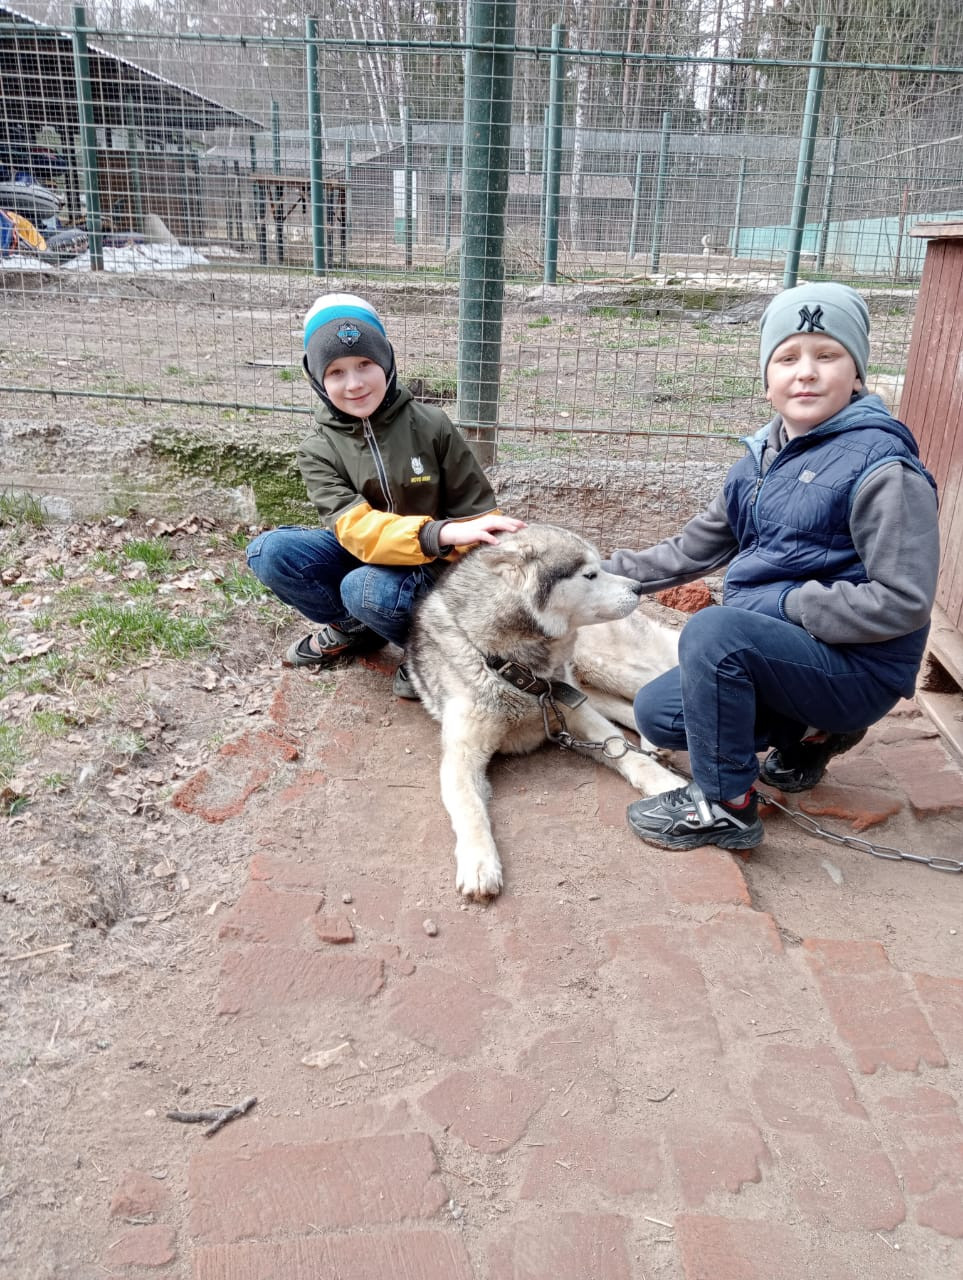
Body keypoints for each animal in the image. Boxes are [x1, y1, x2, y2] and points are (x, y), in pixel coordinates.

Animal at [405, 523, 685, 899]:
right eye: (590, 574)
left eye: (601, 566)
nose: (639, 588)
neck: (511, 667)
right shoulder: (462, 755)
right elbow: (469, 807)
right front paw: (479, 864)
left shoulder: (576, 712)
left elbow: (625, 752)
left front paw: (665, 783)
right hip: (587, 683)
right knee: (629, 704)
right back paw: (656, 744)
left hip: (602, 665)